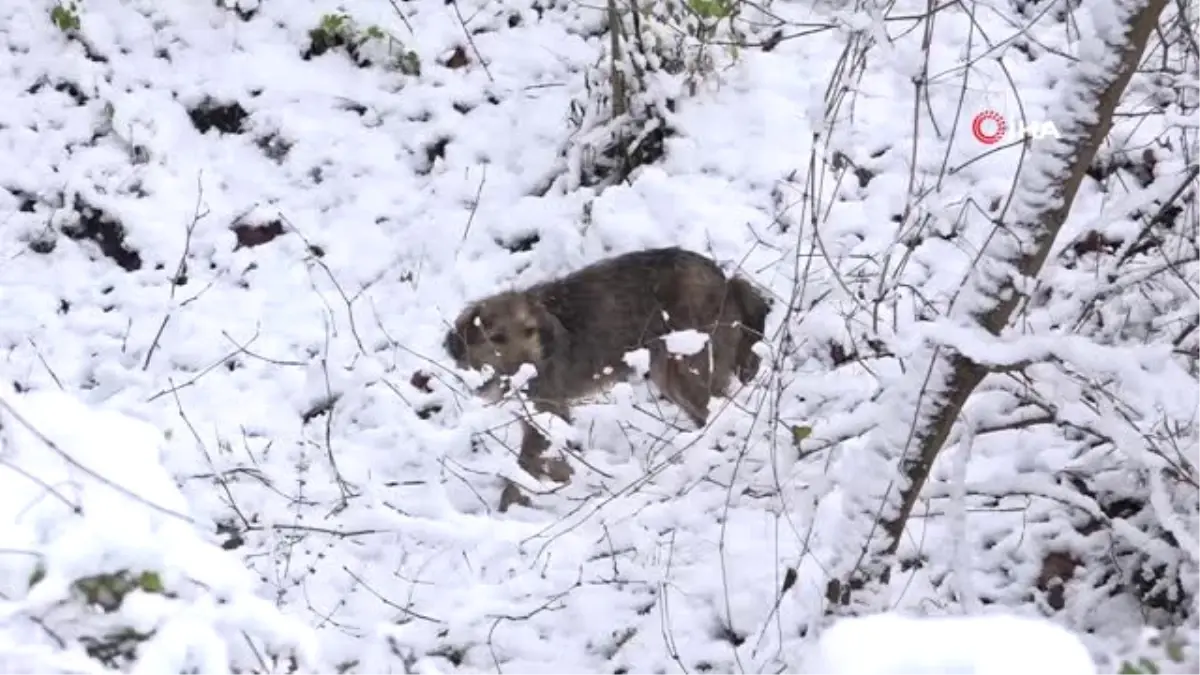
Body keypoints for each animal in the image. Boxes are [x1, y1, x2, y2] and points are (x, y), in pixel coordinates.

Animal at [441, 243, 768, 506]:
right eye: (496, 337)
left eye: (529, 331)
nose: (530, 367)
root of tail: (726, 279)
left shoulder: (548, 412)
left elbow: (526, 469)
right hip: (670, 376)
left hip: (685, 369)